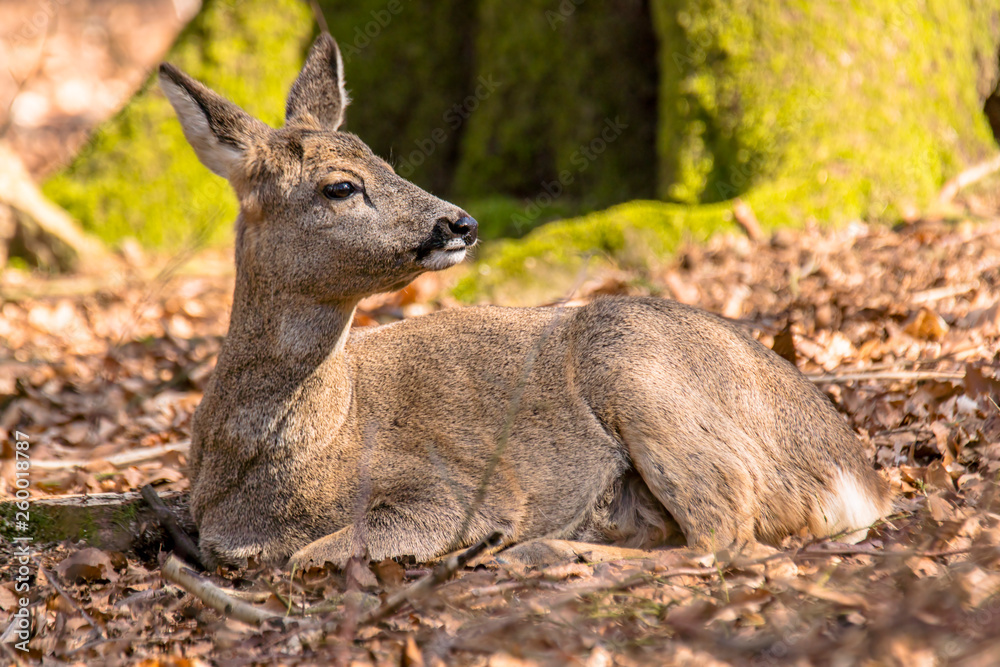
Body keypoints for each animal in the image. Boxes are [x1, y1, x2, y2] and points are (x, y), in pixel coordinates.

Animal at [160, 34, 896, 572]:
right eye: (341, 185)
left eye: (388, 163)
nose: (459, 222)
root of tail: (858, 478)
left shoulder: (447, 490)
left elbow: (308, 555)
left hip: (641, 371)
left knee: (728, 541)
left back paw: (532, 551)